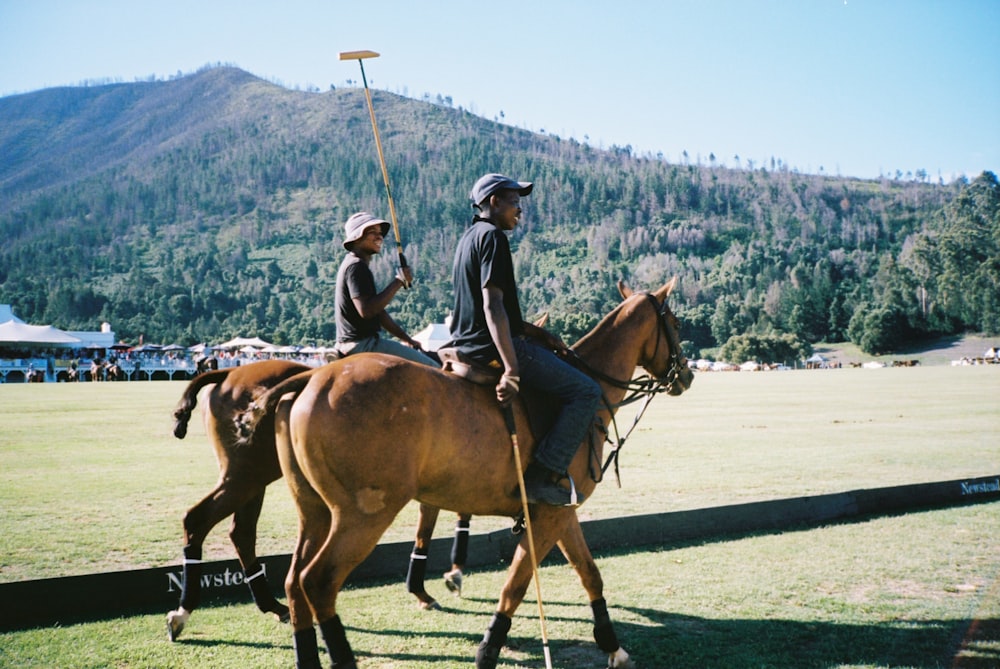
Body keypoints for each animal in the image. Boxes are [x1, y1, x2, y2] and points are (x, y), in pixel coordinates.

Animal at [246, 274, 692, 664]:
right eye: (674, 322)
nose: (686, 374)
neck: (591, 391)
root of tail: (310, 379)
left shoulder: (560, 510)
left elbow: (589, 573)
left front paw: (613, 646)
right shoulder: (546, 515)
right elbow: (515, 586)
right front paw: (487, 649)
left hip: (314, 509)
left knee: (294, 580)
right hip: (364, 513)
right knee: (318, 581)